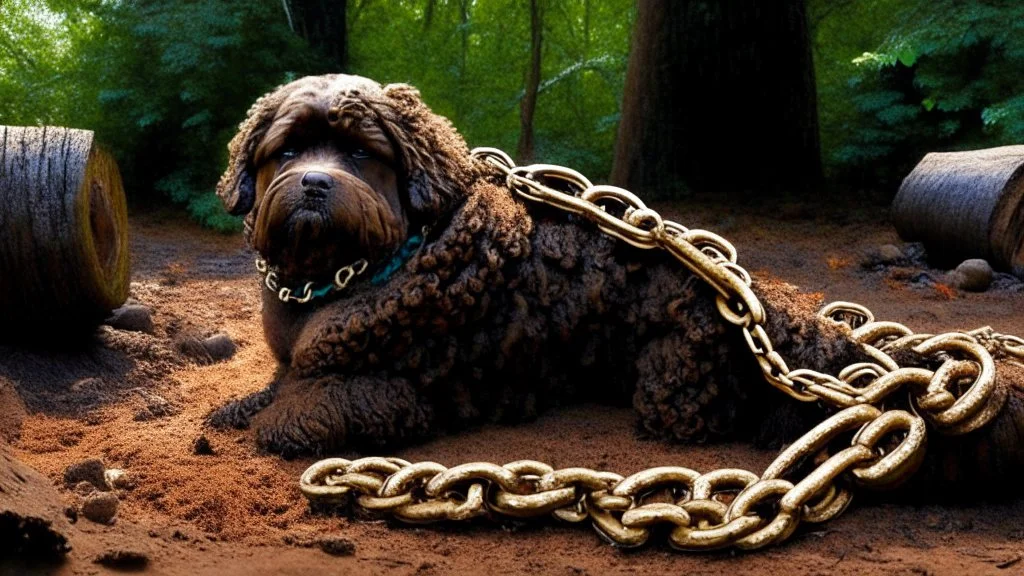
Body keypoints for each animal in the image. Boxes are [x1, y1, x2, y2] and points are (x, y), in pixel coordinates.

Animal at [207, 73, 1024, 496]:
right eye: (288, 151)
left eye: (358, 153)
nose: (314, 184)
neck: (345, 272)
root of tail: (777, 311)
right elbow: (277, 384)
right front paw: (240, 404)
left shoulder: (392, 390)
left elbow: (303, 408)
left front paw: (273, 419)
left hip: (670, 384)